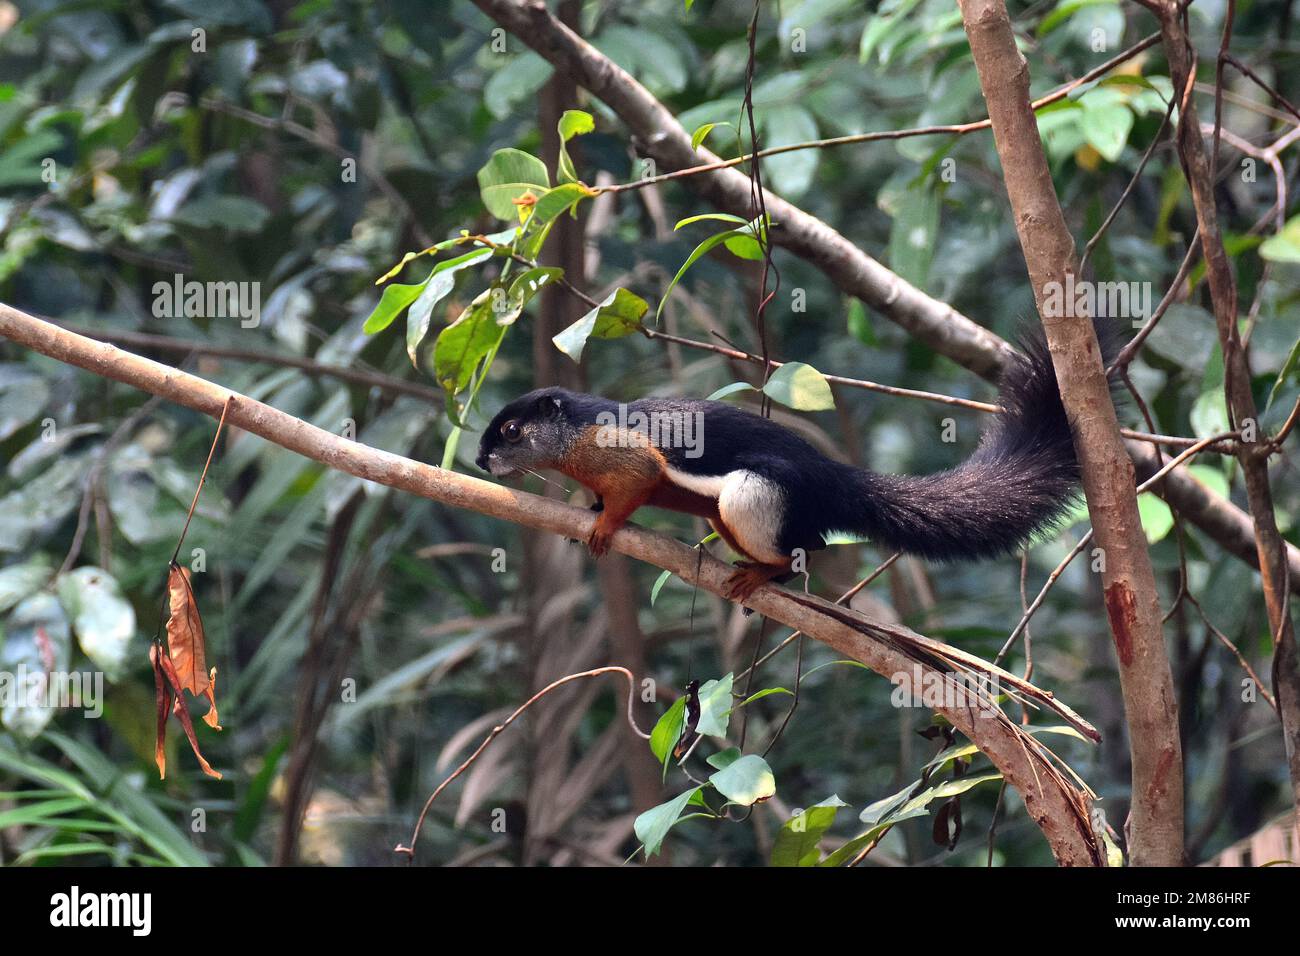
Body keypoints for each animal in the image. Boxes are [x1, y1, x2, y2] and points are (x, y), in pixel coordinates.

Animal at [478, 325, 1118, 600]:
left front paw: (605, 526)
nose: (482, 460)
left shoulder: (623, 452)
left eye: (510, 431)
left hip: (753, 493)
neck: (573, 439)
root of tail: (834, 481)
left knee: (807, 548)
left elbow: (635, 485)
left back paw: (764, 575)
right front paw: (587, 511)